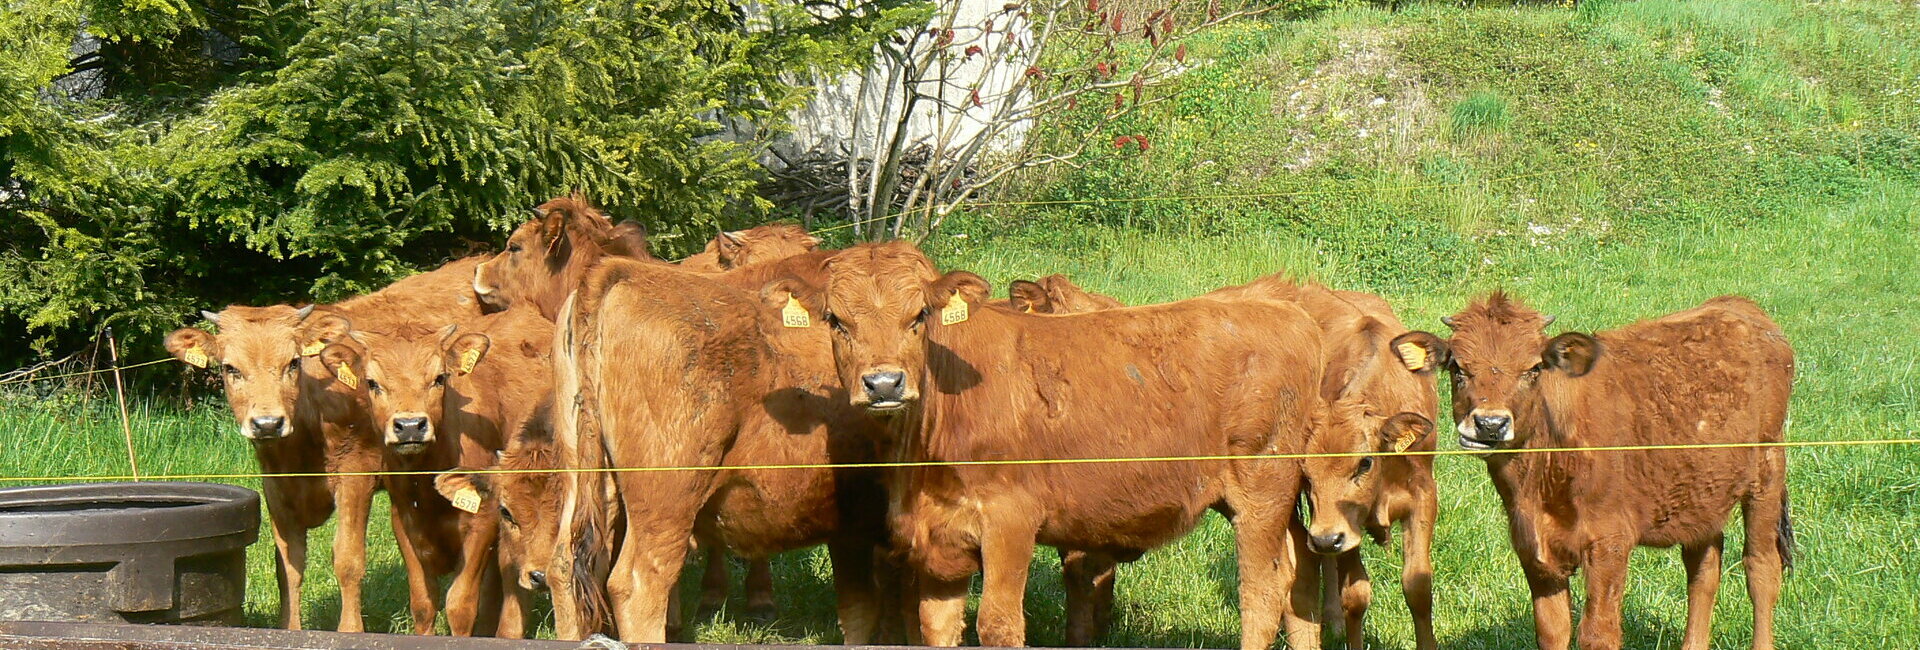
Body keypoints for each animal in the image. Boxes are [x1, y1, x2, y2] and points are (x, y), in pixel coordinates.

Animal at [164, 256, 487, 632]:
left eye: (293, 362)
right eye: (231, 368)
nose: (267, 423)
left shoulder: (356, 475)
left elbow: (348, 560)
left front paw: (350, 630)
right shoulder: (277, 486)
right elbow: (287, 565)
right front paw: (290, 628)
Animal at [771, 241, 1328, 648]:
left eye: (919, 316)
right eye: (836, 321)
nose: (884, 383)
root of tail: (1281, 300)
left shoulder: (1010, 520)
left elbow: (997, 624)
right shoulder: (939, 537)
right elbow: (936, 628)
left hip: (1262, 491)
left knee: (1262, 592)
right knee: (1300, 577)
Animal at [1390, 295, 1789, 650]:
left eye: (1534, 368)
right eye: (1457, 368)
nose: (1490, 424)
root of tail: (1738, 306)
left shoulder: (1609, 542)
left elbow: (1599, 634)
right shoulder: (1534, 549)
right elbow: (1551, 632)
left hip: (1769, 471)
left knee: (1762, 569)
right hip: (1702, 494)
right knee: (1703, 569)